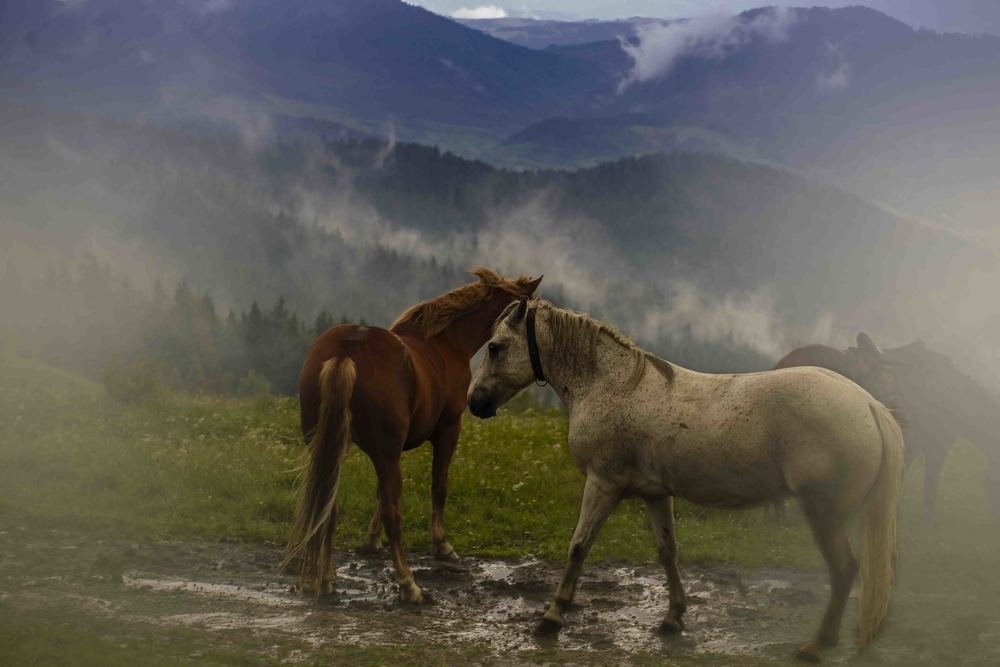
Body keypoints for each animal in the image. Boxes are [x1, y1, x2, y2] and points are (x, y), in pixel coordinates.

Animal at [283, 268, 541, 604]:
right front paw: (442, 545)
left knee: (330, 508)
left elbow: (380, 494)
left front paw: (372, 540)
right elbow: (438, 486)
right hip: (383, 453)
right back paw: (409, 584)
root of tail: (346, 352)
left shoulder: (394, 450)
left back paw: (326, 580)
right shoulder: (447, 430)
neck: (445, 342)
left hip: (331, 449)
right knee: (393, 515)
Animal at [468, 300, 903, 662]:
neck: (612, 384)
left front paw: (552, 617)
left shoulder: (603, 484)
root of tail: (867, 404)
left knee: (844, 569)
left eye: (495, 347)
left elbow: (578, 547)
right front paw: (673, 619)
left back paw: (816, 645)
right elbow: (668, 552)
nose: (474, 402)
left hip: (824, 512)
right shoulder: (656, 494)